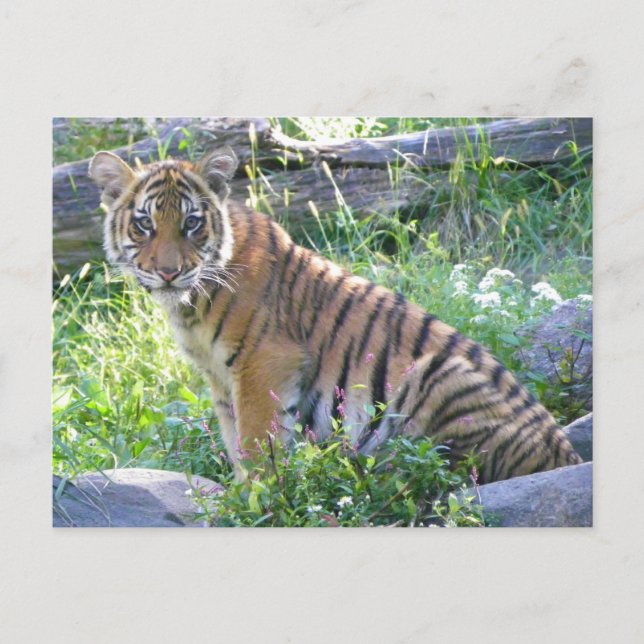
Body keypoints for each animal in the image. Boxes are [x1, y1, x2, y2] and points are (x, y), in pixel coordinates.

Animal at [88, 146, 583, 484]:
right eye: (145, 224)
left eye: (191, 223)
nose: (169, 272)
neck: (191, 302)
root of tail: (568, 458)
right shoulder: (221, 382)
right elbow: (234, 442)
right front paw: (239, 494)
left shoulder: (264, 364)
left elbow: (254, 444)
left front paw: (256, 500)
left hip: (440, 373)